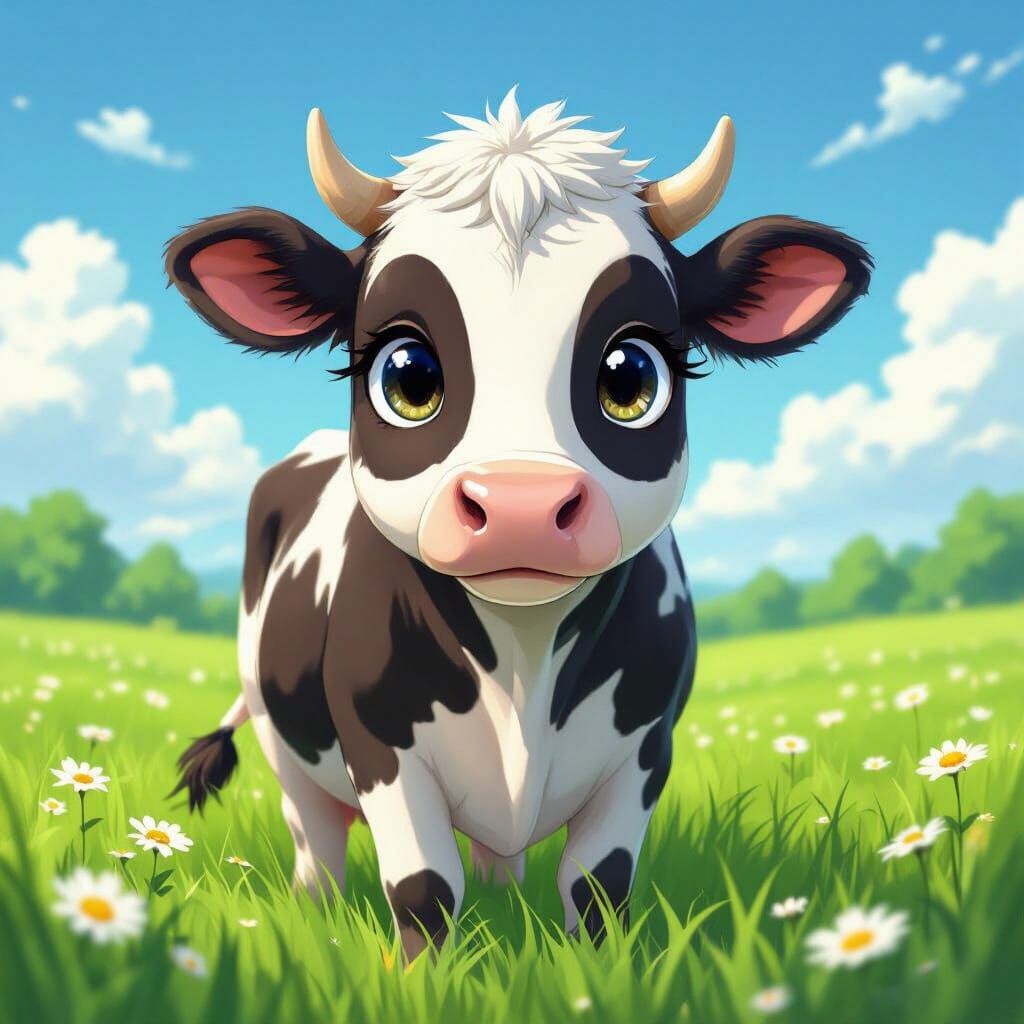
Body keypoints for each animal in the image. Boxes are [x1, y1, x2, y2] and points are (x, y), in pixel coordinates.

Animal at [166, 89, 871, 961]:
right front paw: (423, 979)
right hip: (279, 734)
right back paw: (317, 910)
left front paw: (593, 972)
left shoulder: (646, 749)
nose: (520, 508)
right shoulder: (382, 747)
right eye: (408, 372)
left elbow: (597, 885)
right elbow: (424, 888)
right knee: (317, 842)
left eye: (631, 373)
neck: (523, 664)